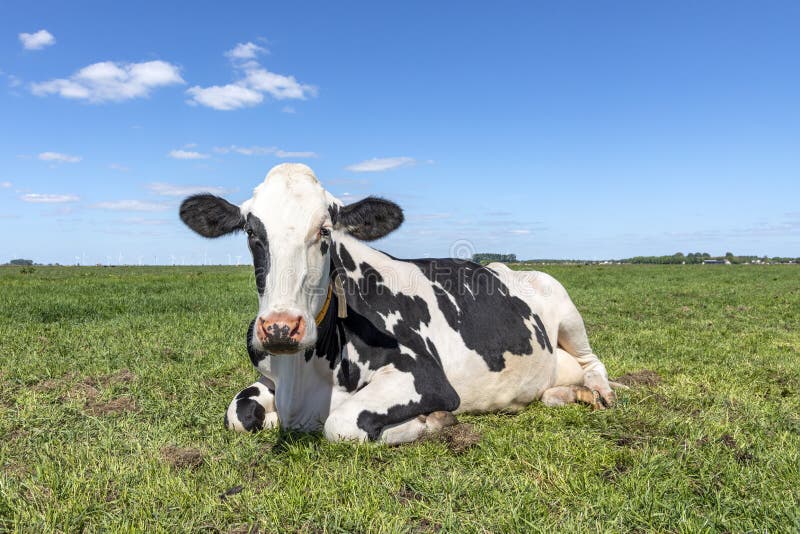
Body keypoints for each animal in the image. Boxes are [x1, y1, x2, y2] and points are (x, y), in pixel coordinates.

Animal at [180, 162, 620, 444]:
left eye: (325, 231)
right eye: (251, 232)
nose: (281, 328)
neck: (300, 381)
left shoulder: (426, 376)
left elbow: (341, 425)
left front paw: (433, 422)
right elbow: (239, 414)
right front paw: (267, 419)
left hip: (564, 306)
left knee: (593, 363)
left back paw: (601, 392)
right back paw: (568, 394)